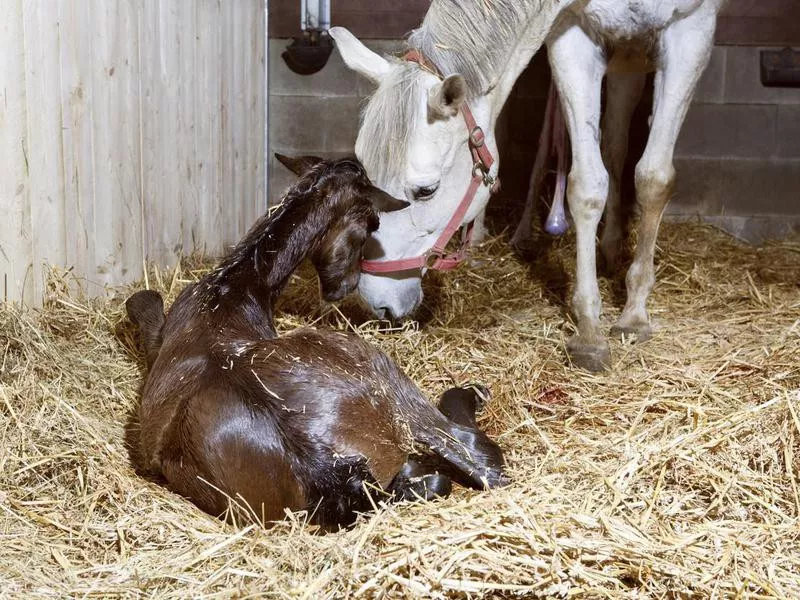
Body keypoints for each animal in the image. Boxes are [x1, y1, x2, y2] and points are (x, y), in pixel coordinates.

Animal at [332, 0, 724, 368]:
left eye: (427, 190)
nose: (375, 300)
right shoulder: (572, 31)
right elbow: (587, 186)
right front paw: (590, 331)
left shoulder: (693, 26)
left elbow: (653, 178)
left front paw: (634, 315)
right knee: (613, 148)